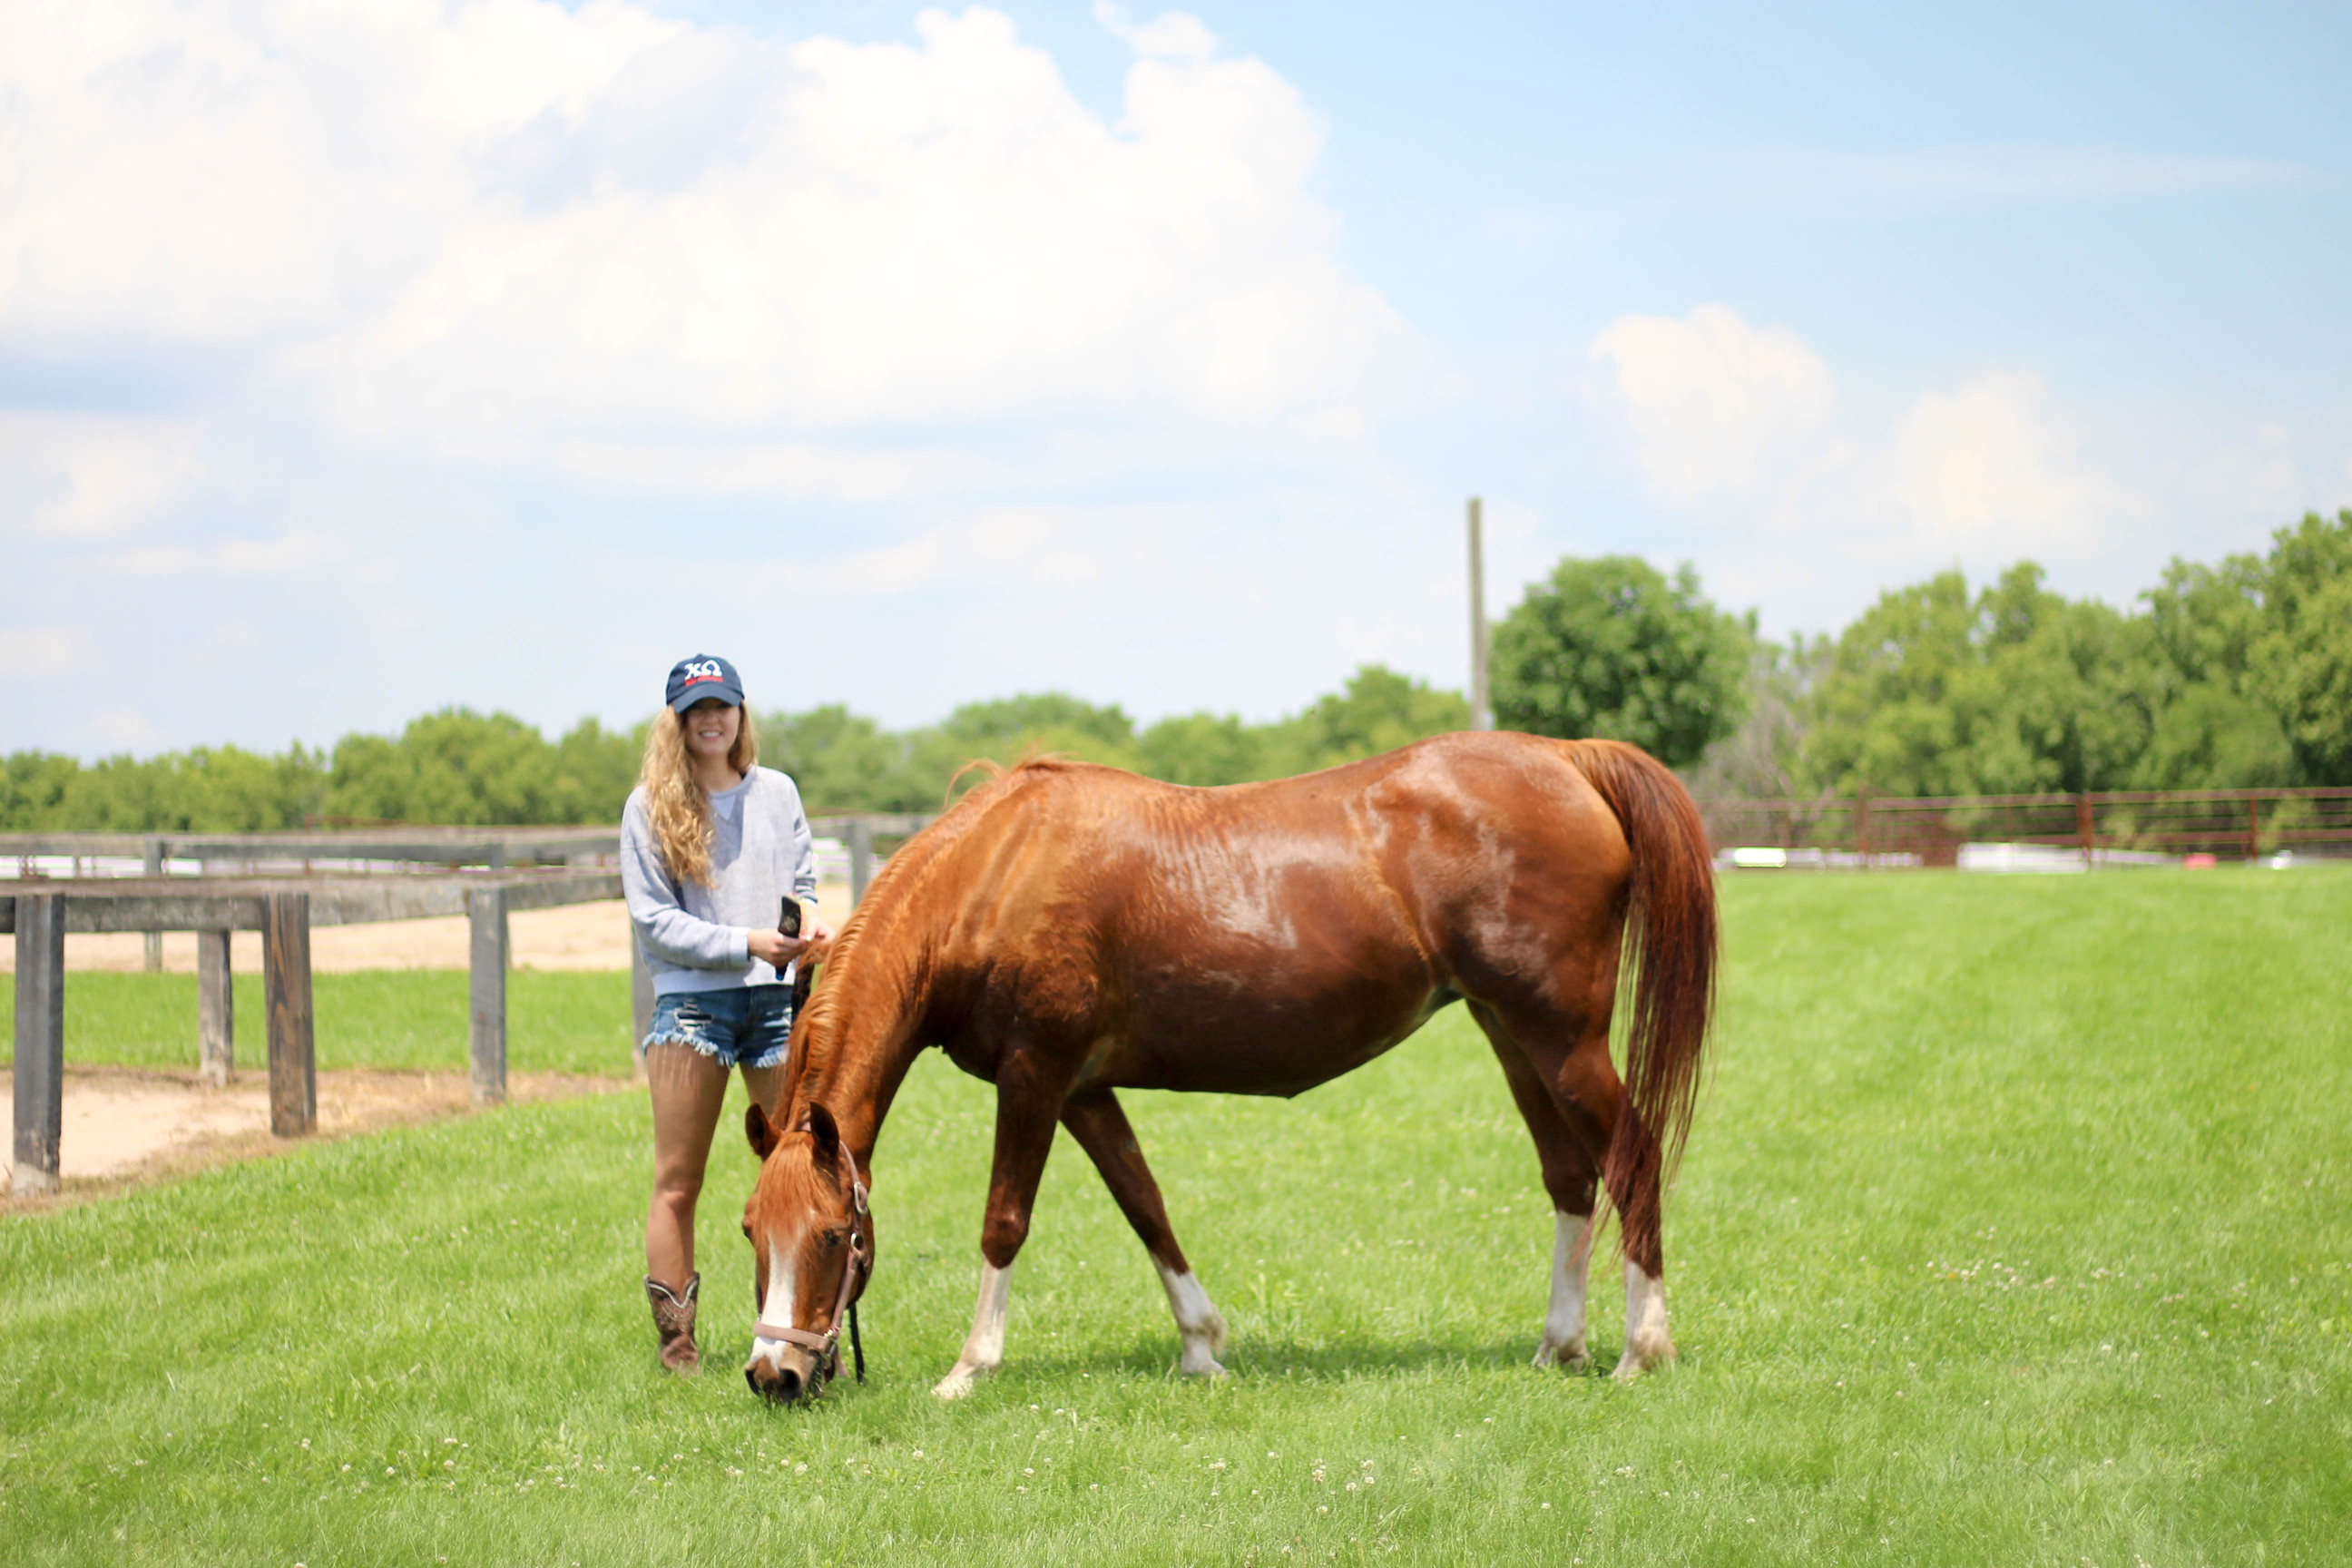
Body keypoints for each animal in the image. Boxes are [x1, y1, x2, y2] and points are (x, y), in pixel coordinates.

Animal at [743, 729, 1721, 1401]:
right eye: (752, 1233)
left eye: (834, 1235)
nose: (772, 1375)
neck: (994, 875)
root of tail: (1566, 757)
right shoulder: (1085, 1090)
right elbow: (1146, 1206)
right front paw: (1202, 1345)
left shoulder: (1036, 1075)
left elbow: (1004, 1222)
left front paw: (968, 1369)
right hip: (1510, 1034)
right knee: (1569, 1177)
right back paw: (1560, 1344)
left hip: (1564, 1041)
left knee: (1631, 1158)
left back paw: (1642, 1349)